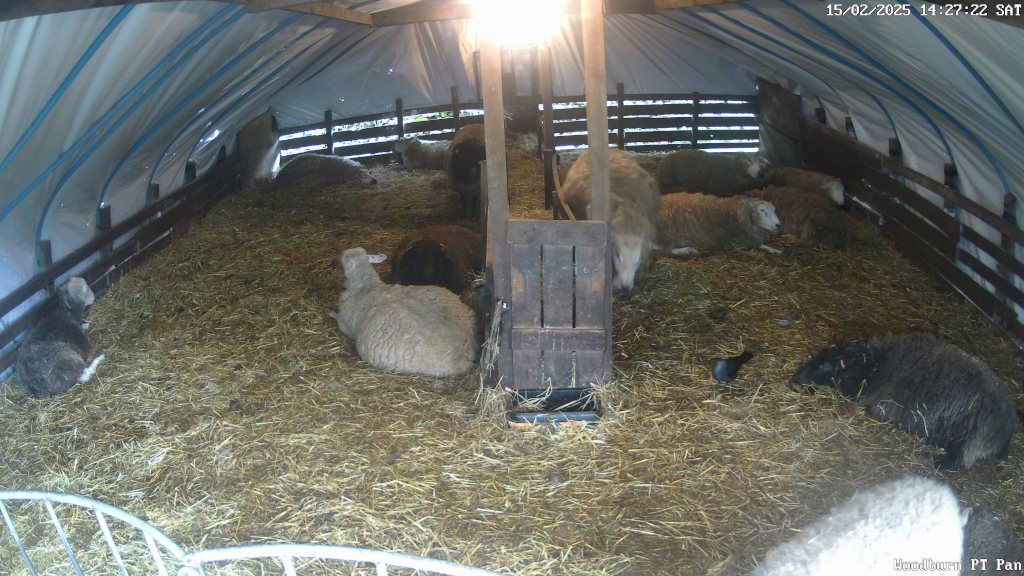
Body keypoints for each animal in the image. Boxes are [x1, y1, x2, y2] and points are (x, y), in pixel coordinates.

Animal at [327, 245, 479, 377]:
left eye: (346, 256)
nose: (342, 253)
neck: (367, 286)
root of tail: (468, 350)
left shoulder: (345, 325)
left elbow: (337, 317)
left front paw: (329, 311)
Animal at [790, 330, 1015, 469]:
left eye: (826, 366)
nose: (795, 382)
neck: (877, 366)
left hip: (972, 440)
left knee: (961, 460)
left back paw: (937, 460)